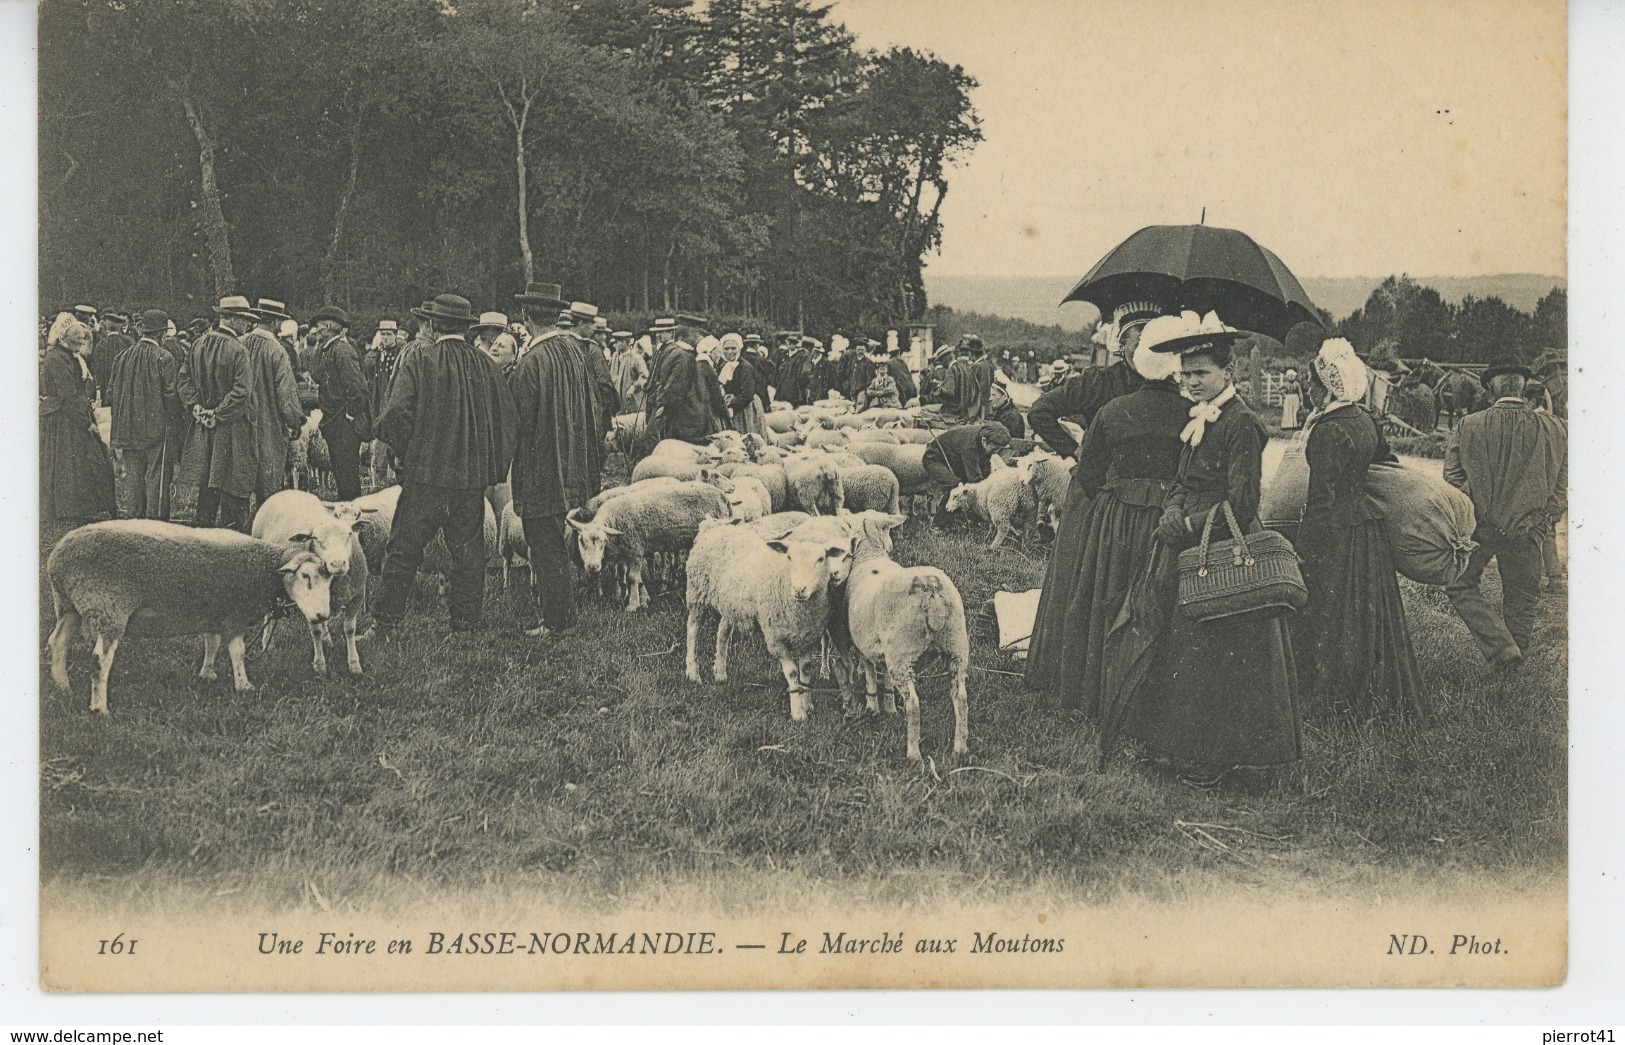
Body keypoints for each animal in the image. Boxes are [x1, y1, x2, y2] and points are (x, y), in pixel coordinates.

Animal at [46, 520, 336, 715]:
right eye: (305, 576)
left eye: (328, 578)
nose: (322, 615)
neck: (264, 568)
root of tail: (57, 559)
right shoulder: (234, 614)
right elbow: (238, 652)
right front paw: (244, 686)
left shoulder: (214, 611)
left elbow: (211, 643)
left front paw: (207, 673)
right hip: (109, 609)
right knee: (100, 660)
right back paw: (99, 707)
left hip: (68, 605)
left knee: (58, 643)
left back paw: (63, 687)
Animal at [250, 494, 373, 679]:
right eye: (316, 539)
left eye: (349, 534)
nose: (338, 564)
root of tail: (286, 491)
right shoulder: (307, 601)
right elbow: (315, 632)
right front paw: (320, 666)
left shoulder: (357, 596)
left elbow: (349, 629)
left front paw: (354, 665)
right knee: (270, 612)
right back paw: (266, 643)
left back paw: (328, 640)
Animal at [568, 477, 728, 607]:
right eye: (581, 540)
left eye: (603, 541)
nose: (593, 566)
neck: (614, 520)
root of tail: (723, 496)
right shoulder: (627, 552)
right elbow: (636, 578)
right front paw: (643, 600)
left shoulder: (635, 548)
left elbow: (632, 578)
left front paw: (632, 605)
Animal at [685, 513, 858, 718]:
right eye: (789, 557)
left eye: (821, 559)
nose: (800, 589)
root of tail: (716, 526)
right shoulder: (775, 638)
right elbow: (792, 672)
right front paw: (798, 712)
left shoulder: (808, 634)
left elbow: (806, 669)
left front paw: (808, 704)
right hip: (697, 591)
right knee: (693, 630)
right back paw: (693, 673)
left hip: (730, 601)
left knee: (723, 631)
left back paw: (720, 673)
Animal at [838, 513, 962, 760]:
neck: (870, 554)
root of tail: (931, 590)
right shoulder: (884, 650)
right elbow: (884, 677)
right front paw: (890, 706)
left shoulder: (864, 645)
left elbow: (870, 675)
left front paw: (873, 707)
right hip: (956, 646)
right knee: (960, 698)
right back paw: (960, 748)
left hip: (903, 654)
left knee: (913, 703)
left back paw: (913, 753)